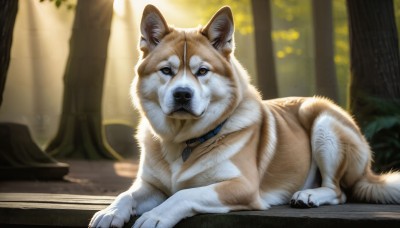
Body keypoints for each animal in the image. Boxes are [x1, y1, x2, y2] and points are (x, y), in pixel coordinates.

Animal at [90, 4, 400, 228]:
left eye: (202, 71)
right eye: (166, 70)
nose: (182, 94)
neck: (184, 141)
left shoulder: (241, 186)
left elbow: (185, 193)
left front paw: (156, 216)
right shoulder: (151, 185)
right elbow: (127, 193)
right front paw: (110, 212)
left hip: (323, 122)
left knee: (339, 191)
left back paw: (309, 194)